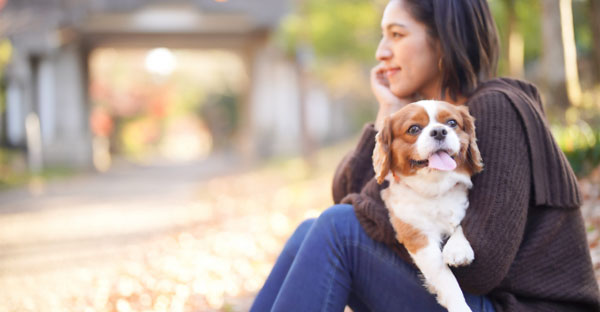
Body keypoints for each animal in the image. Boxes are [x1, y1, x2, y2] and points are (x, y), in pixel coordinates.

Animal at [372, 100, 486, 312]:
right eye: (414, 129)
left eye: (452, 123)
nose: (439, 131)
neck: (435, 189)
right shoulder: (417, 236)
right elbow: (444, 276)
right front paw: (460, 306)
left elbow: (459, 224)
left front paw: (458, 249)